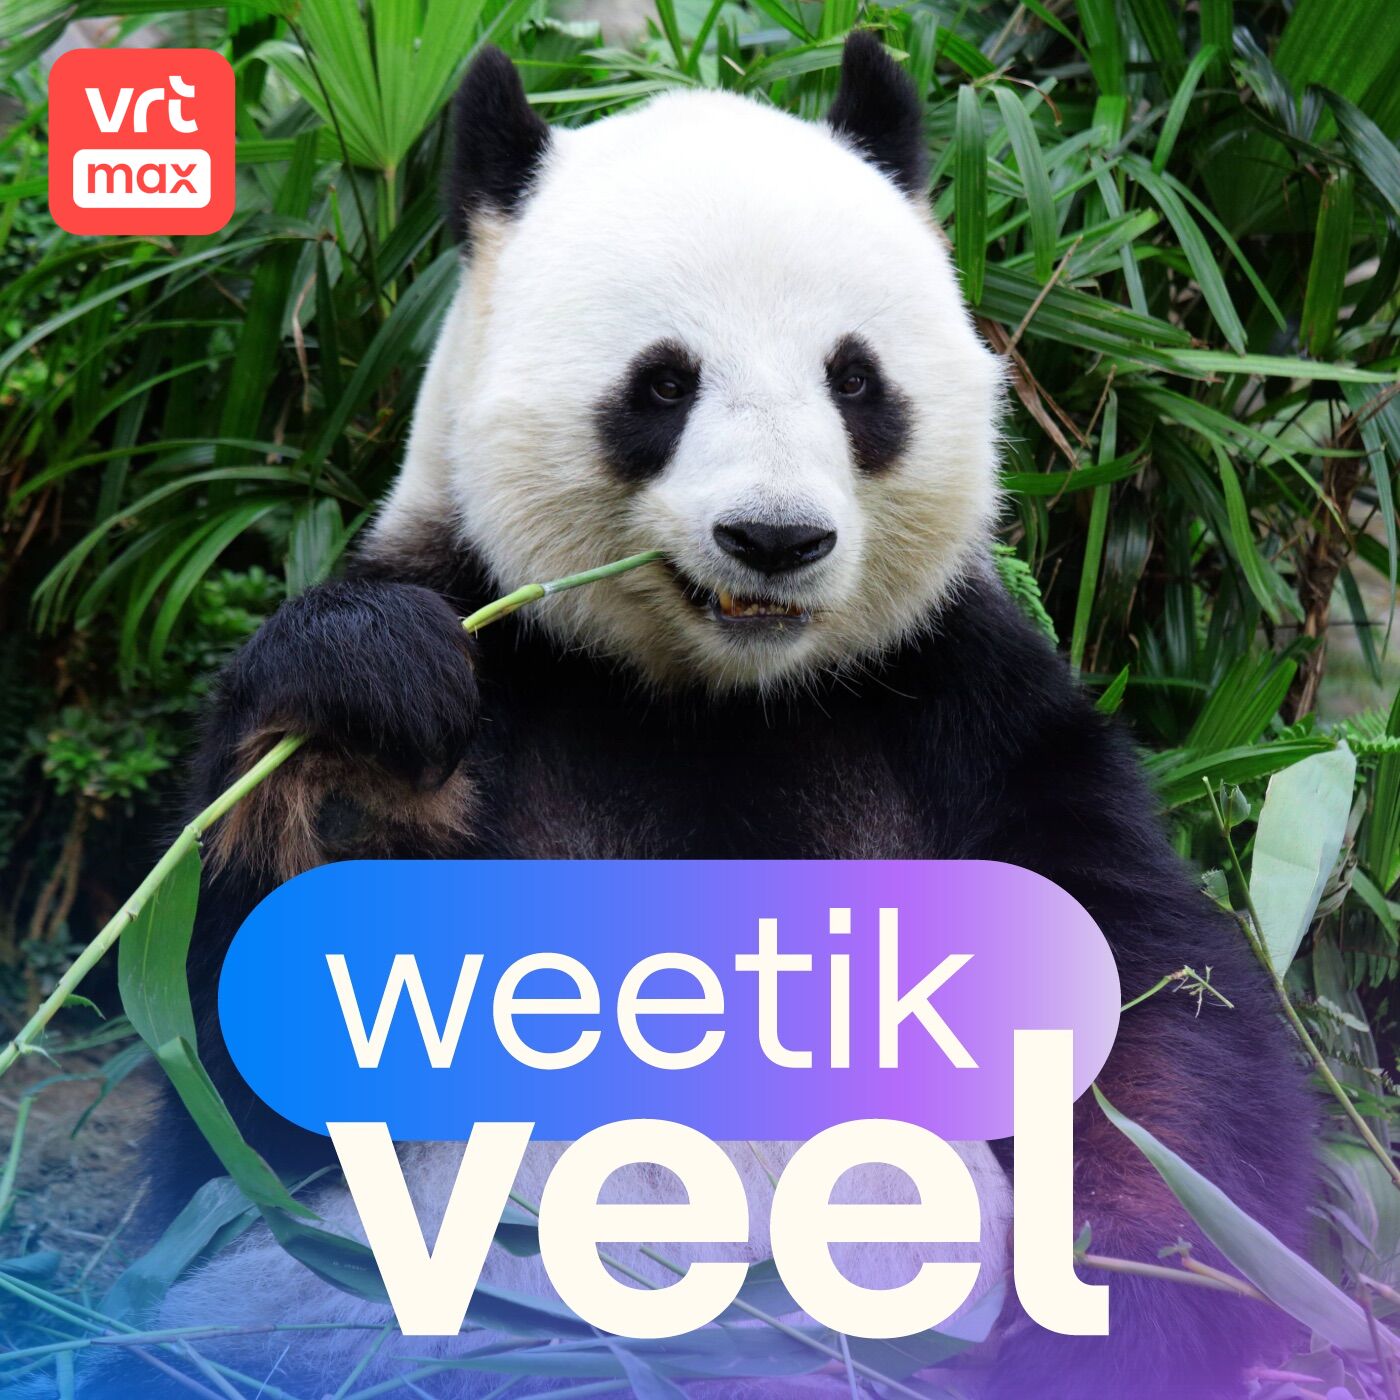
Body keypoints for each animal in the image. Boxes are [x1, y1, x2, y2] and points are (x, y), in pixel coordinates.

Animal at [104, 32, 1313, 1400]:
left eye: (854, 378)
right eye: (663, 383)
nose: (774, 538)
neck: (711, 696)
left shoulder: (960, 704)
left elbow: (1149, 1011)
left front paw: (1132, 1298)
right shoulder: (491, 632)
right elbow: (236, 1082)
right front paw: (369, 728)